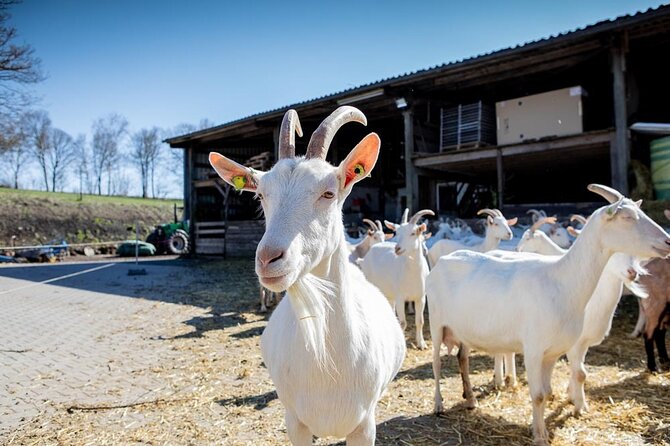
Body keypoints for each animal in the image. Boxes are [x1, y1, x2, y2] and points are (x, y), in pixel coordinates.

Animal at [209, 106, 404, 444]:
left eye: (328, 192)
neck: (327, 364)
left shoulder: (365, 426)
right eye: (261, 195)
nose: (268, 259)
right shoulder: (295, 422)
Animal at [362, 207, 436, 350]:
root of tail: (374, 247)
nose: (397, 249)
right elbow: (402, 323)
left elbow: (420, 321)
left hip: (389, 294)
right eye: (397, 232)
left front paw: (421, 344)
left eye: (413, 233)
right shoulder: (400, 297)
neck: (413, 274)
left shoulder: (421, 297)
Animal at [430, 183, 670, 444]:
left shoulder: (553, 352)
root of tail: (444, 259)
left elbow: (547, 392)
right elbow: (537, 394)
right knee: (436, 363)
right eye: (627, 217)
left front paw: (545, 427)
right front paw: (540, 436)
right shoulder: (534, 350)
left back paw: (471, 400)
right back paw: (438, 405)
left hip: (463, 329)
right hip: (436, 323)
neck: (561, 280)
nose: (667, 241)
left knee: (462, 358)